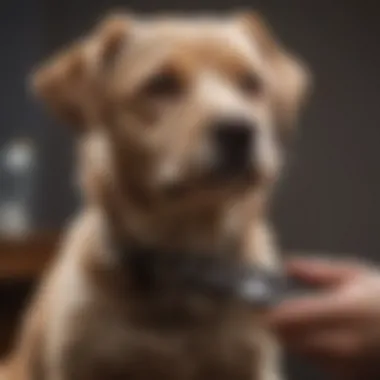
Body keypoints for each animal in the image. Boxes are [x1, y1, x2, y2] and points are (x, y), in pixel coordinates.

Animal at [1, 10, 310, 380]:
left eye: (251, 82)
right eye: (160, 84)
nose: (239, 131)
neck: (183, 256)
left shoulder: (254, 364)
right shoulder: (79, 365)